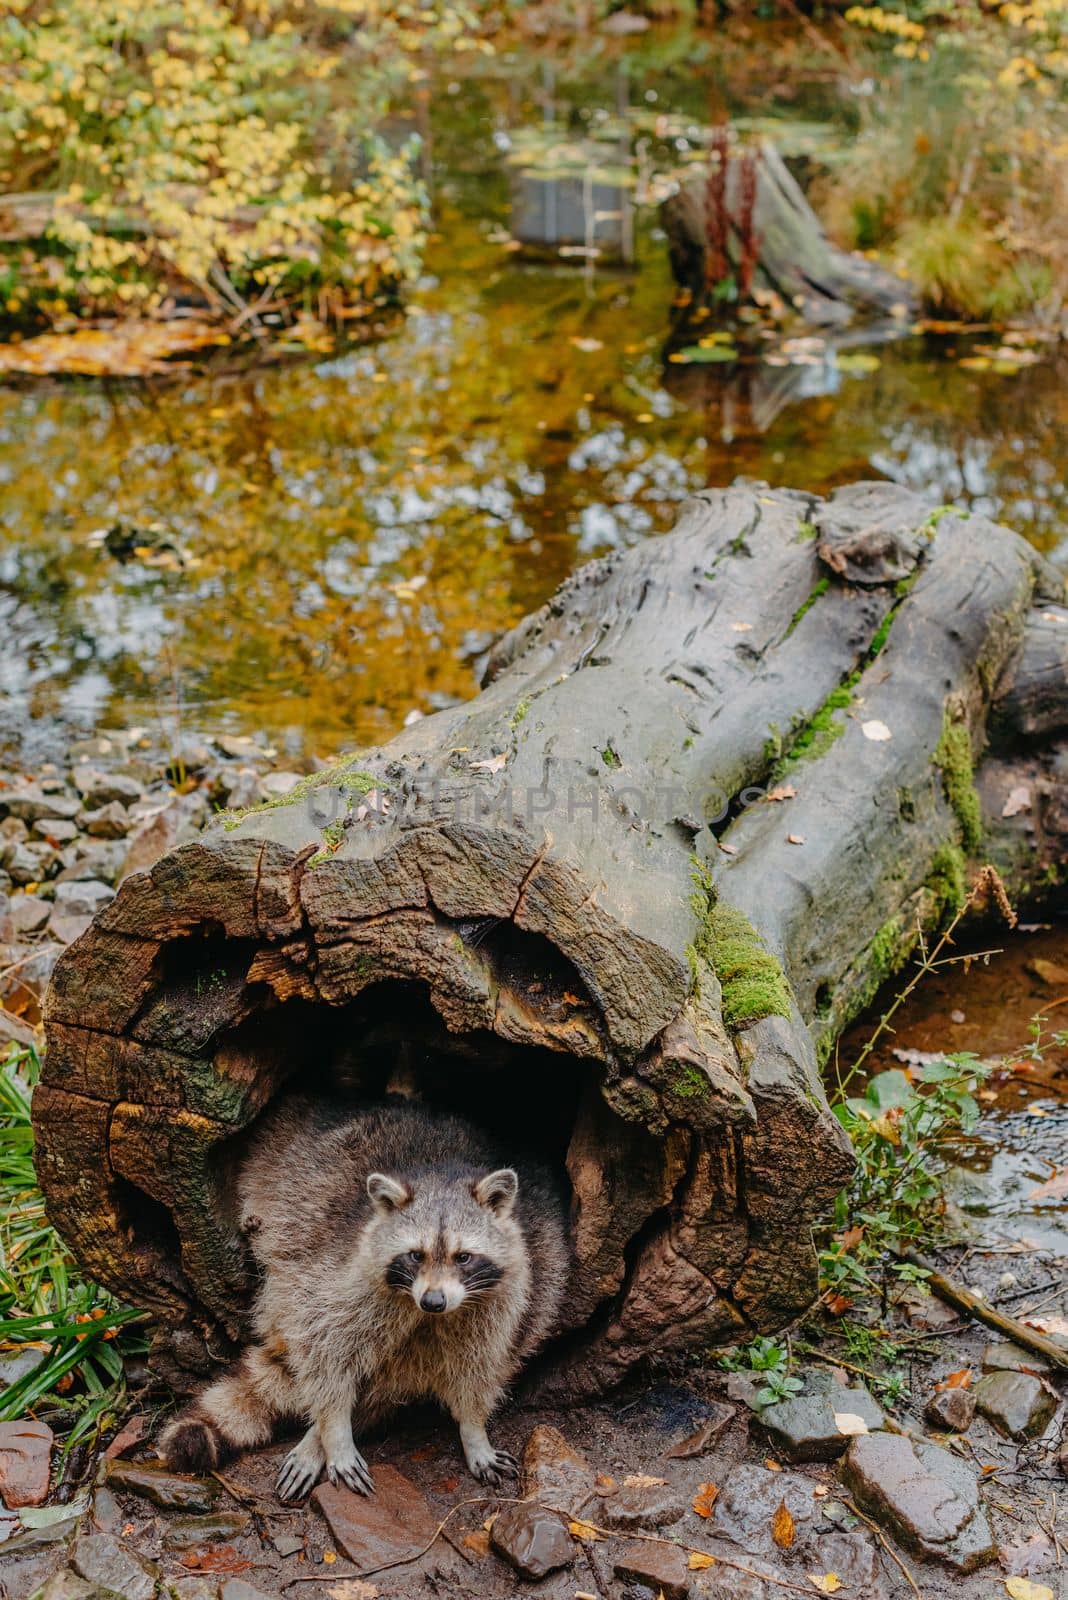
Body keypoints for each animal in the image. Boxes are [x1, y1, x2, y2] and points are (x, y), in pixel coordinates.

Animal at [158, 1100, 572, 1497]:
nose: (433, 1301)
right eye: (415, 1255)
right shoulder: (338, 1276)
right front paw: (332, 1433)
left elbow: (480, 1370)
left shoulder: (508, 1300)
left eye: (463, 1257)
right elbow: (324, 1350)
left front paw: (473, 1430)